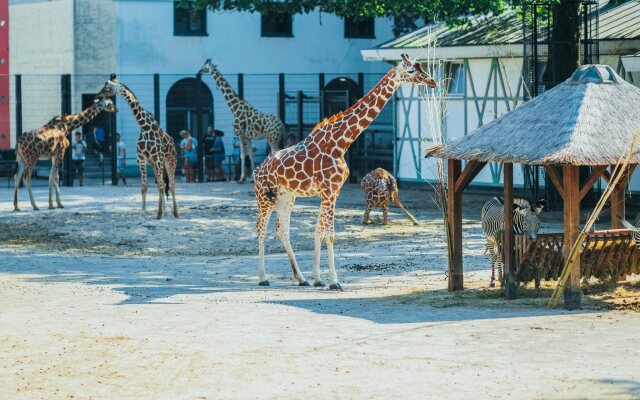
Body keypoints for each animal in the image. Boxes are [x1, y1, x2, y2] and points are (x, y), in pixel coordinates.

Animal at [97, 75, 180, 219]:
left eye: (107, 87)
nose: (98, 95)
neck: (144, 127)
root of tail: (172, 142)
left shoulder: (157, 159)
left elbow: (161, 185)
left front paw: (159, 213)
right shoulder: (141, 159)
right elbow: (144, 186)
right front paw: (144, 212)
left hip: (170, 161)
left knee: (171, 184)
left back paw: (175, 212)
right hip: (154, 163)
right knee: (162, 183)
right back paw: (165, 211)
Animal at [250, 54, 436, 290]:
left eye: (421, 66)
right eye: (411, 70)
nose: (432, 81)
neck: (341, 143)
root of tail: (257, 170)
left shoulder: (333, 191)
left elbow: (319, 231)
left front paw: (317, 278)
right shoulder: (329, 190)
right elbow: (330, 234)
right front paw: (334, 281)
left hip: (286, 196)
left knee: (282, 230)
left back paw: (301, 278)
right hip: (264, 196)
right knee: (260, 228)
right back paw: (263, 277)